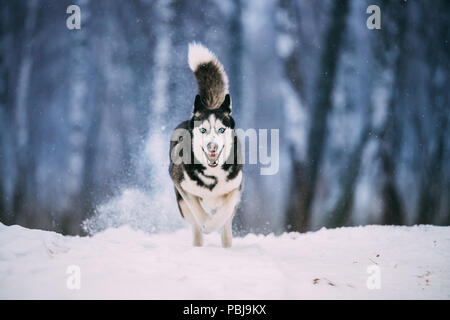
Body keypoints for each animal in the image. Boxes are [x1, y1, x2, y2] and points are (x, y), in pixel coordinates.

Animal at [170, 43, 243, 248]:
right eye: (203, 130)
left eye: (221, 129)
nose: (212, 147)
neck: (212, 173)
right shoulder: (181, 184)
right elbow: (198, 211)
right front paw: (207, 225)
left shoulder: (235, 187)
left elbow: (225, 211)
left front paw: (214, 223)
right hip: (181, 202)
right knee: (195, 226)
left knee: (226, 226)